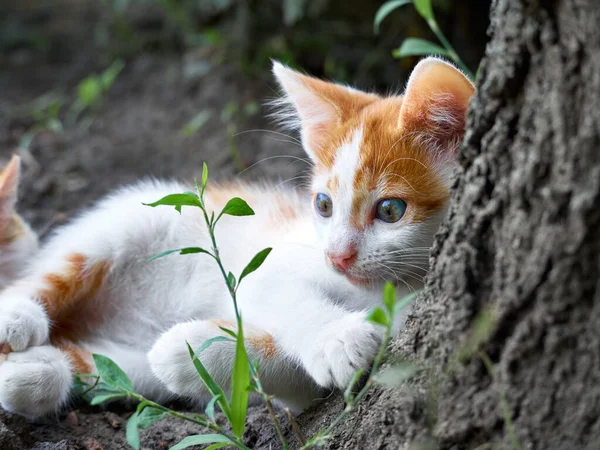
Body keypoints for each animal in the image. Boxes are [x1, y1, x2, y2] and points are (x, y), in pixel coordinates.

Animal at [0, 57, 474, 418]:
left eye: (391, 211)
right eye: (323, 205)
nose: (337, 257)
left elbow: (286, 379)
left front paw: (187, 351)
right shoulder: (275, 261)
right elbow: (281, 293)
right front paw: (338, 337)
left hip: (120, 360)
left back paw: (34, 372)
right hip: (127, 223)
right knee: (46, 275)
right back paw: (17, 319)